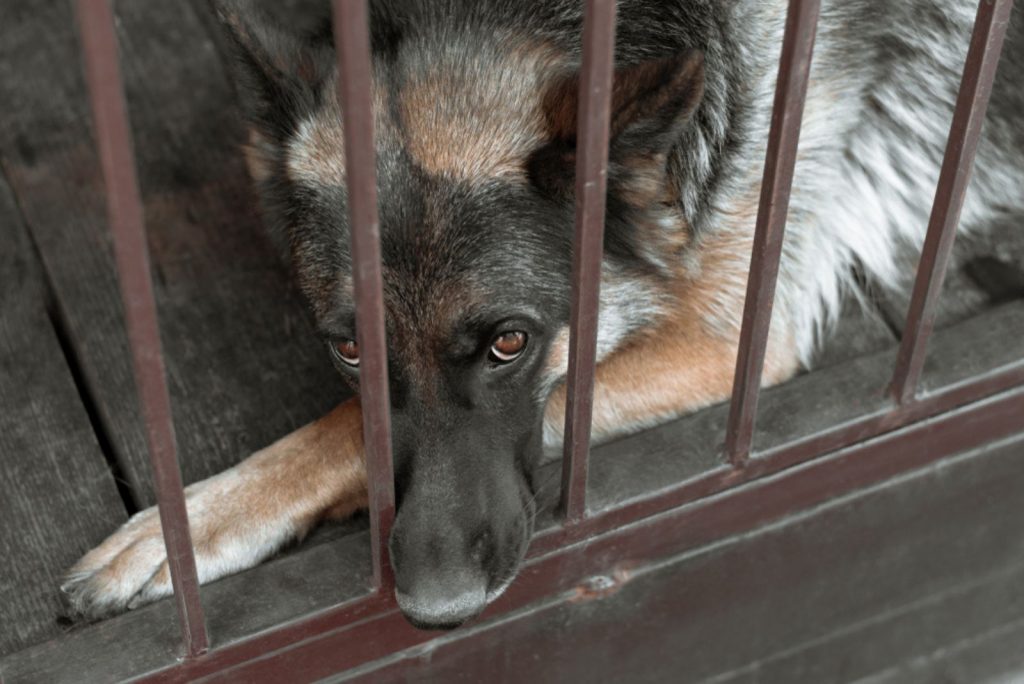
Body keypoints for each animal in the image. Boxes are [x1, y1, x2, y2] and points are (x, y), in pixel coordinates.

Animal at [66, 1, 1024, 630]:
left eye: (511, 342)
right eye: (348, 349)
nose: (435, 610)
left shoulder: (730, 340)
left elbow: (348, 430)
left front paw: (191, 526)